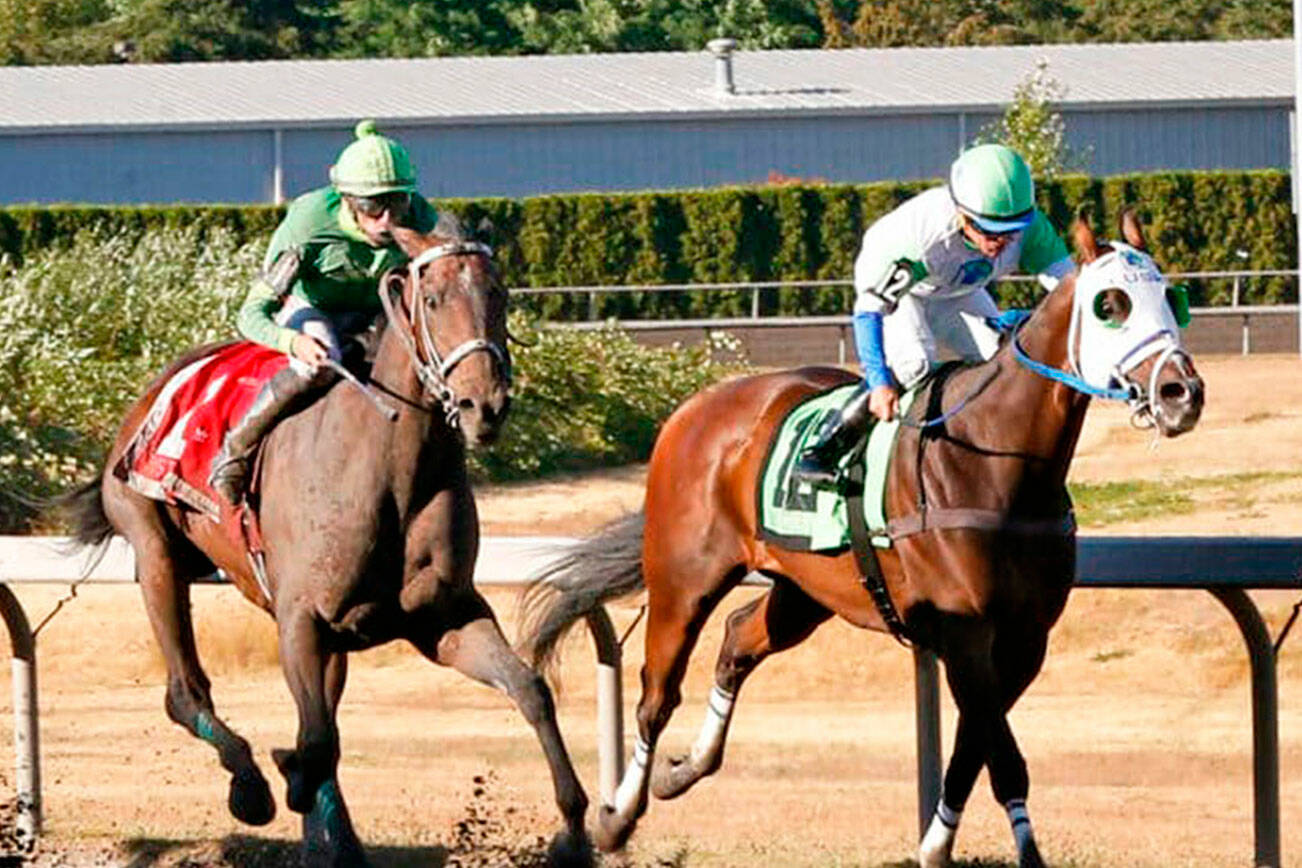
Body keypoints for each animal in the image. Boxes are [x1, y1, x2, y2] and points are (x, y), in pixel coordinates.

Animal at [59, 216, 591, 864]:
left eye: (500, 294)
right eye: (433, 299)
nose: (483, 405)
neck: (389, 469)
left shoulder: (442, 617)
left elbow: (529, 688)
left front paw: (574, 833)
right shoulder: (301, 618)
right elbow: (314, 741)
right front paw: (282, 782)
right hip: (155, 548)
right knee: (186, 691)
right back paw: (249, 784)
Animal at [518, 212, 1197, 868]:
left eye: (1171, 295)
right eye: (1111, 304)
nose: (1181, 393)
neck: (997, 462)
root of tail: (698, 404)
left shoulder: (1026, 639)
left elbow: (972, 750)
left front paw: (935, 846)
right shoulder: (966, 634)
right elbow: (1001, 759)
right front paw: (1020, 852)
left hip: (806, 590)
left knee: (737, 639)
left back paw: (683, 771)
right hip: (685, 578)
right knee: (657, 693)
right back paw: (617, 817)